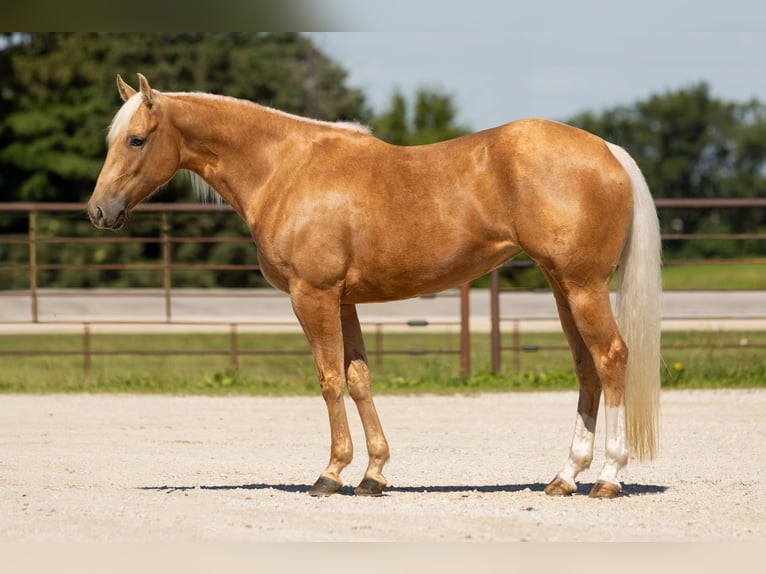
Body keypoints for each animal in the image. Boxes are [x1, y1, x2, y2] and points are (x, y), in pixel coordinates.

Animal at [88, 74, 661, 499]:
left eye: (137, 139)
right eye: (113, 140)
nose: (99, 211)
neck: (284, 169)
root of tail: (608, 149)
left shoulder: (312, 296)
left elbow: (328, 380)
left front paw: (330, 473)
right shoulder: (344, 302)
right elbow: (359, 378)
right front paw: (373, 474)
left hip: (583, 286)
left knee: (611, 358)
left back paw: (608, 478)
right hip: (563, 287)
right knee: (586, 367)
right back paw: (564, 477)